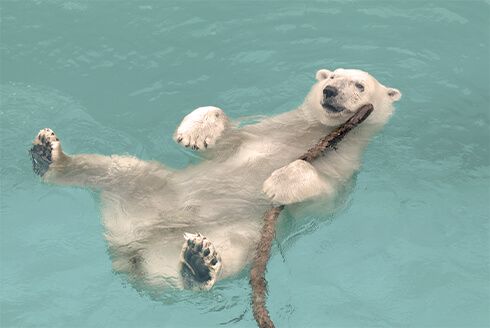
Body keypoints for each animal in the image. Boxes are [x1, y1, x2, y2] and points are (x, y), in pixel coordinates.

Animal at [29, 68, 398, 290]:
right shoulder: (262, 128)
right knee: (121, 169)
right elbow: (222, 138)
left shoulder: (344, 170)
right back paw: (49, 155)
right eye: (331, 75)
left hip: (232, 233)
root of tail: (129, 249)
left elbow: (321, 196)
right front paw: (197, 131)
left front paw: (279, 181)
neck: (311, 132)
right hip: (152, 191)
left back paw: (198, 264)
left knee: (229, 250)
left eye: (359, 84)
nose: (330, 90)